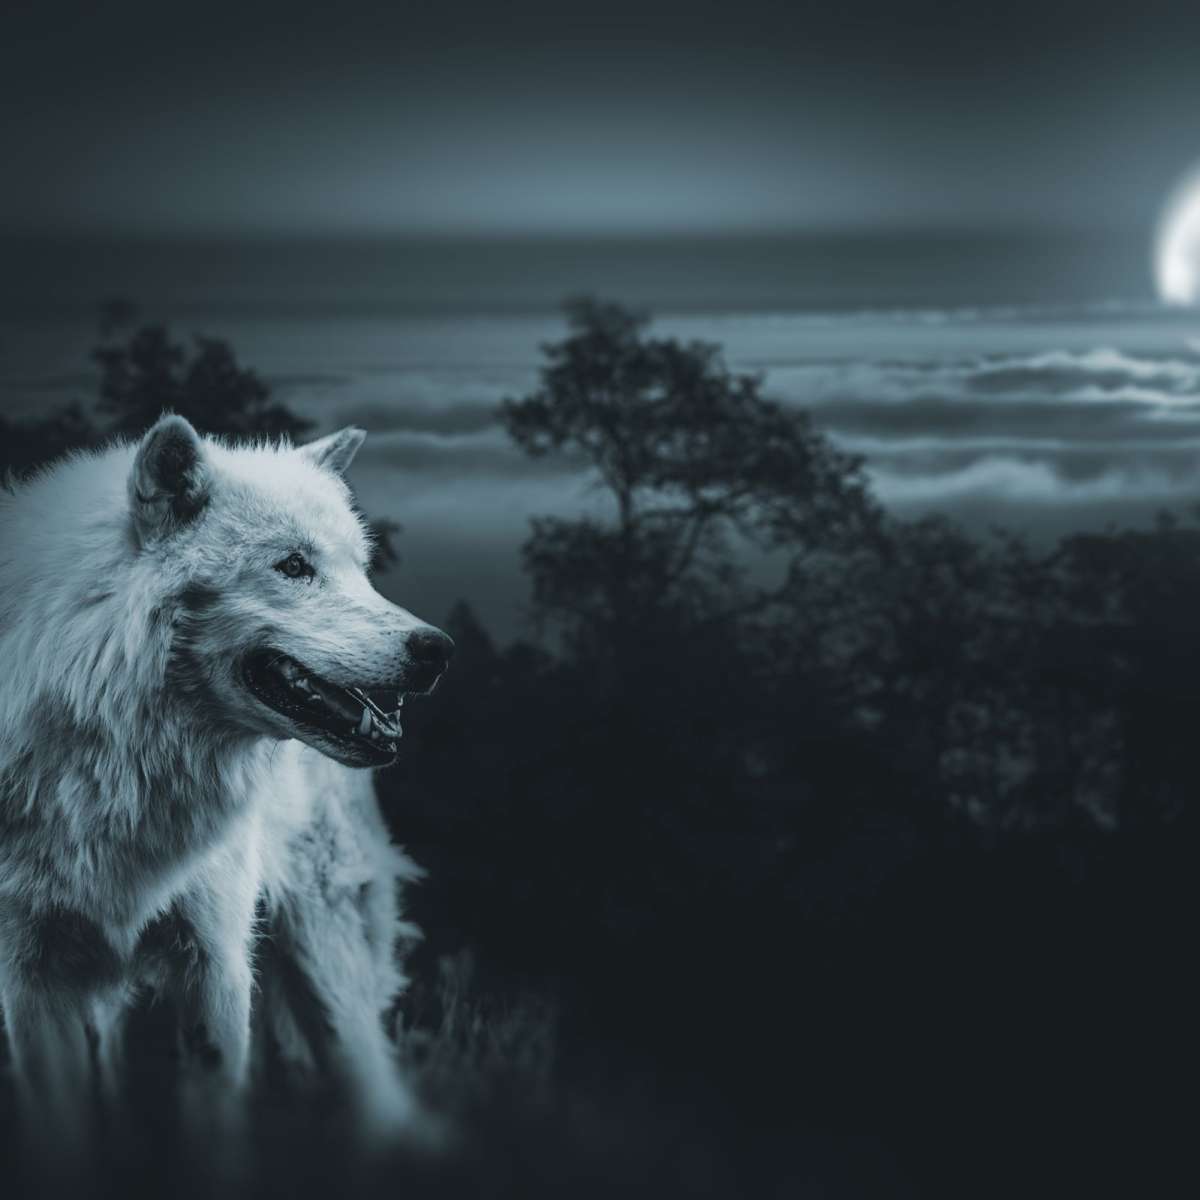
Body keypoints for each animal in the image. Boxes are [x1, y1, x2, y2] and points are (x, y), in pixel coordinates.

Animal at [0, 414, 452, 1143]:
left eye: (360, 570)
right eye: (293, 566)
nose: (438, 649)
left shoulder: (216, 968)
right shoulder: (30, 981)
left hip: (325, 957)